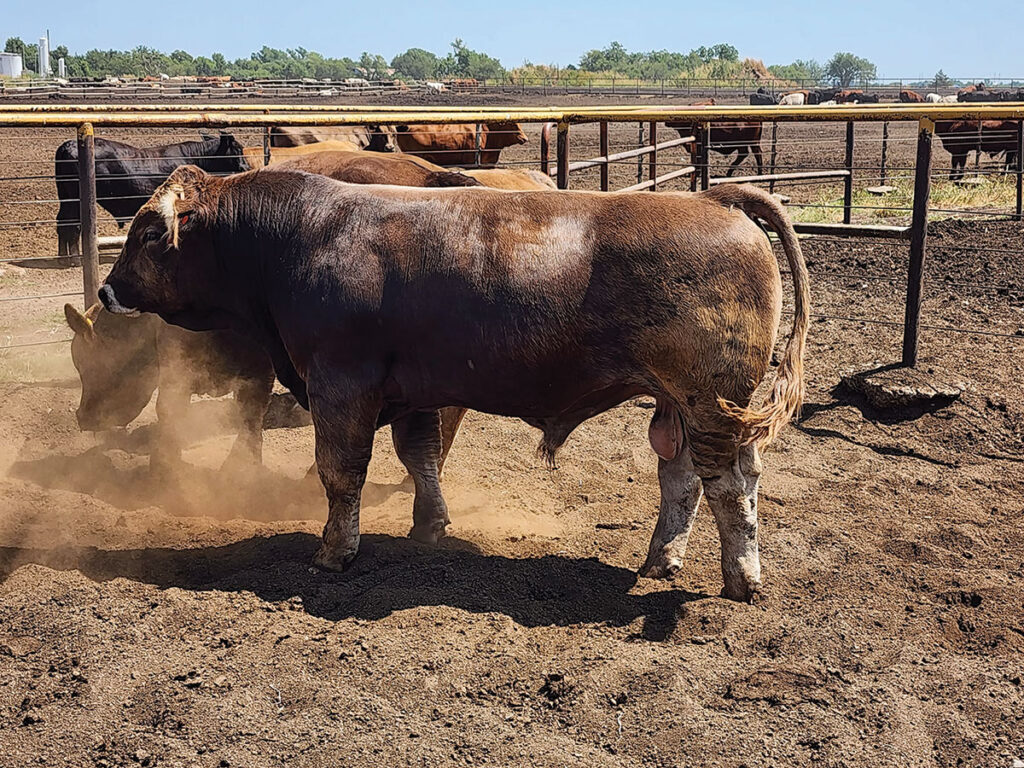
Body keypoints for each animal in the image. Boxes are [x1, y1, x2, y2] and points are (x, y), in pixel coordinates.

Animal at [54, 131, 247, 253]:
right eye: (237, 149)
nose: (246, 166)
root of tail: (68, 145)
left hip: (65, 197)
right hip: (74, 200)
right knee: (72, 225)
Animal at [99, 166, 811, 602]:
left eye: (146, 231)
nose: (107, 290)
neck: (300, 238)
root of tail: (712, 199)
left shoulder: (340, 383)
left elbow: (341, 472)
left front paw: (335, 552)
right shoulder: (415, 389)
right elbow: (418, 456)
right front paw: (429, 525)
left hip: (711, 400)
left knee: (730, 483)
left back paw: (742, 578)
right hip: (678, 405)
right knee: (683, 478)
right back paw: (660, 560)